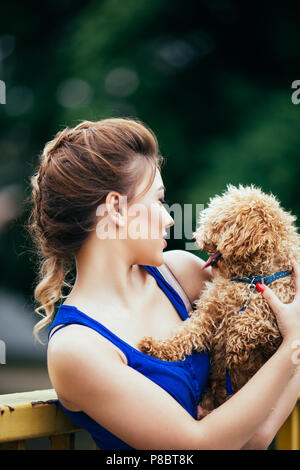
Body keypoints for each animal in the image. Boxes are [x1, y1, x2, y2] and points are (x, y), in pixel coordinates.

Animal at [137, 185, 298, 414]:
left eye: (216, 225)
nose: (196, 237)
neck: (250, 278)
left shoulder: (280, 304)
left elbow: (253, 321)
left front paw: (236, 340)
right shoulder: (209, 312)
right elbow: (185, 334)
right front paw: (155, 346)